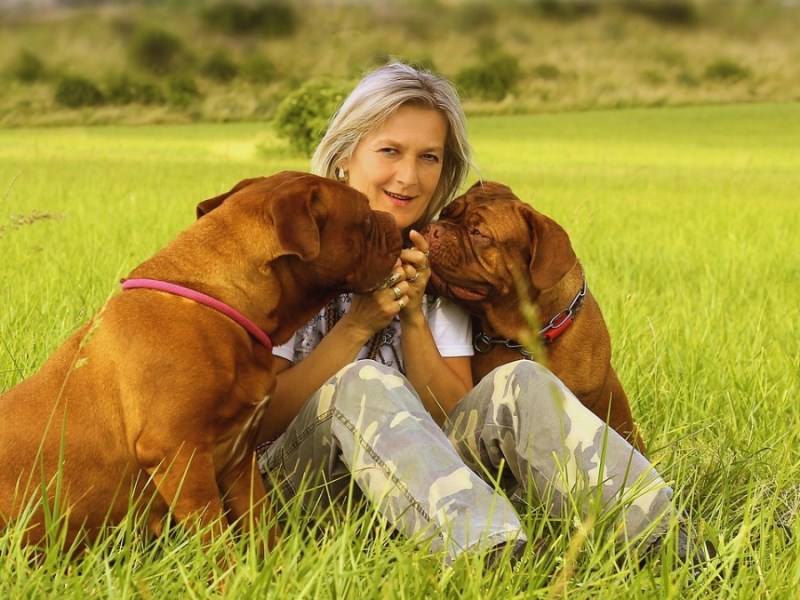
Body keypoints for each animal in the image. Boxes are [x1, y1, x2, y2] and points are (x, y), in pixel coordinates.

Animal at [0, 171, 400, 552]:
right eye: (365, 217)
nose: (394, 221)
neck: (219, 301)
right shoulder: (180, 457)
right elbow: (218, 543)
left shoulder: (238, 461)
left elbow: (262, 528)